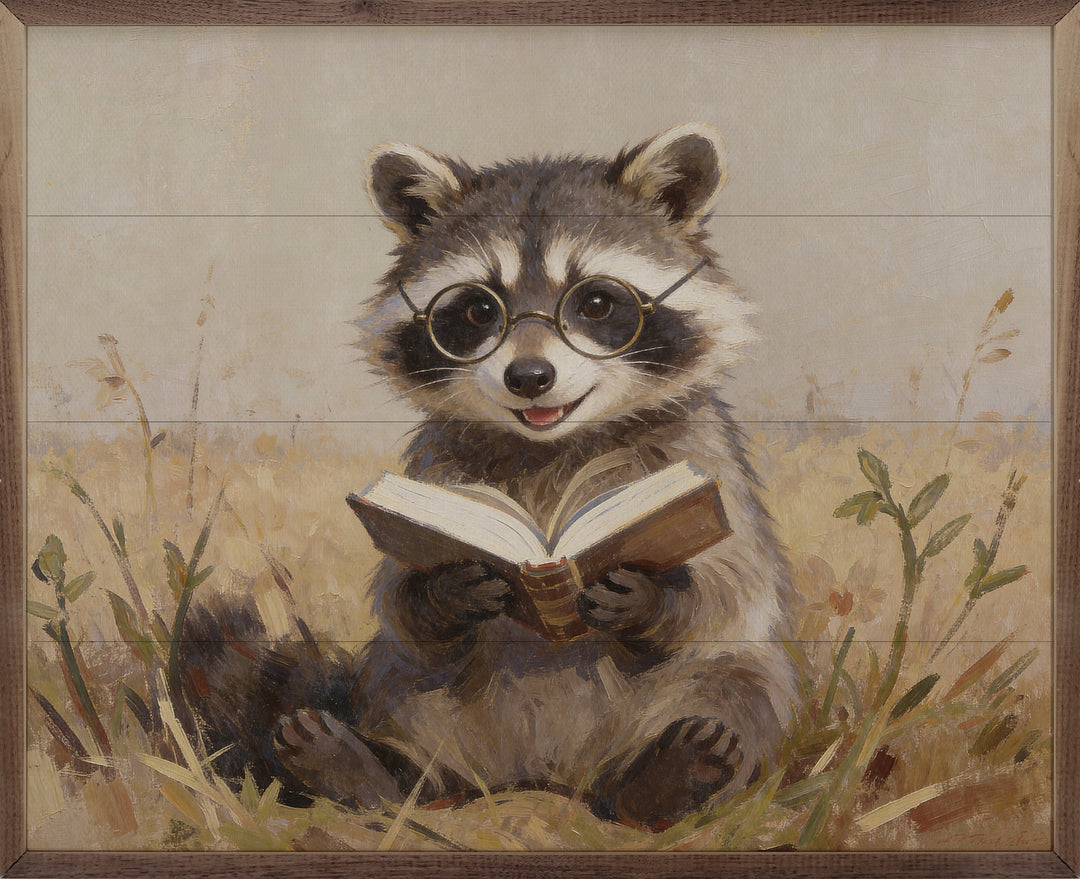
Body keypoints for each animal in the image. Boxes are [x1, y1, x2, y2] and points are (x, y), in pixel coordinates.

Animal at [183, 124, 799, 831]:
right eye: (479, 310)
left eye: (594, 302)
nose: (528, 377)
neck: (549, 445)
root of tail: (545, 778)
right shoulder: (436, 467)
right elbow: (400, 603)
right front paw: (447, 589)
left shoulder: (705, 458)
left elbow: (732, 587)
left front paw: (647, 592)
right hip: (427, 712)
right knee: (404, 683)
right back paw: (372, 774)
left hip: (689, 704)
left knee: (736, 684)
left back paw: (667, 778)